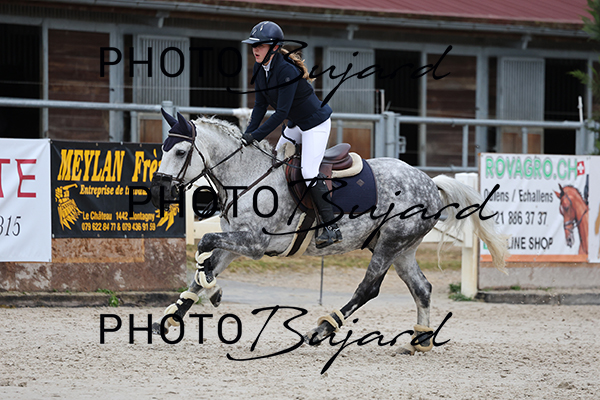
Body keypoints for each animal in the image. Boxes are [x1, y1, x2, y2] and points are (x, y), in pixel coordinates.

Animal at [150, 110, 508, 355]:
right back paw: (420, 340)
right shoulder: (235, 243)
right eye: (163, 149)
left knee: (368, 289)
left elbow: (205, 244)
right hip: (402, 248)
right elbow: (204, 264)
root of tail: (431, 183)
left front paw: (213, 294)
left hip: (390, 243)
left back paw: (321, 330)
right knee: (422, 288)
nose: (158, 191)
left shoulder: (254, 243)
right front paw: (173, 316)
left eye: (179, 152)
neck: (248, 177)